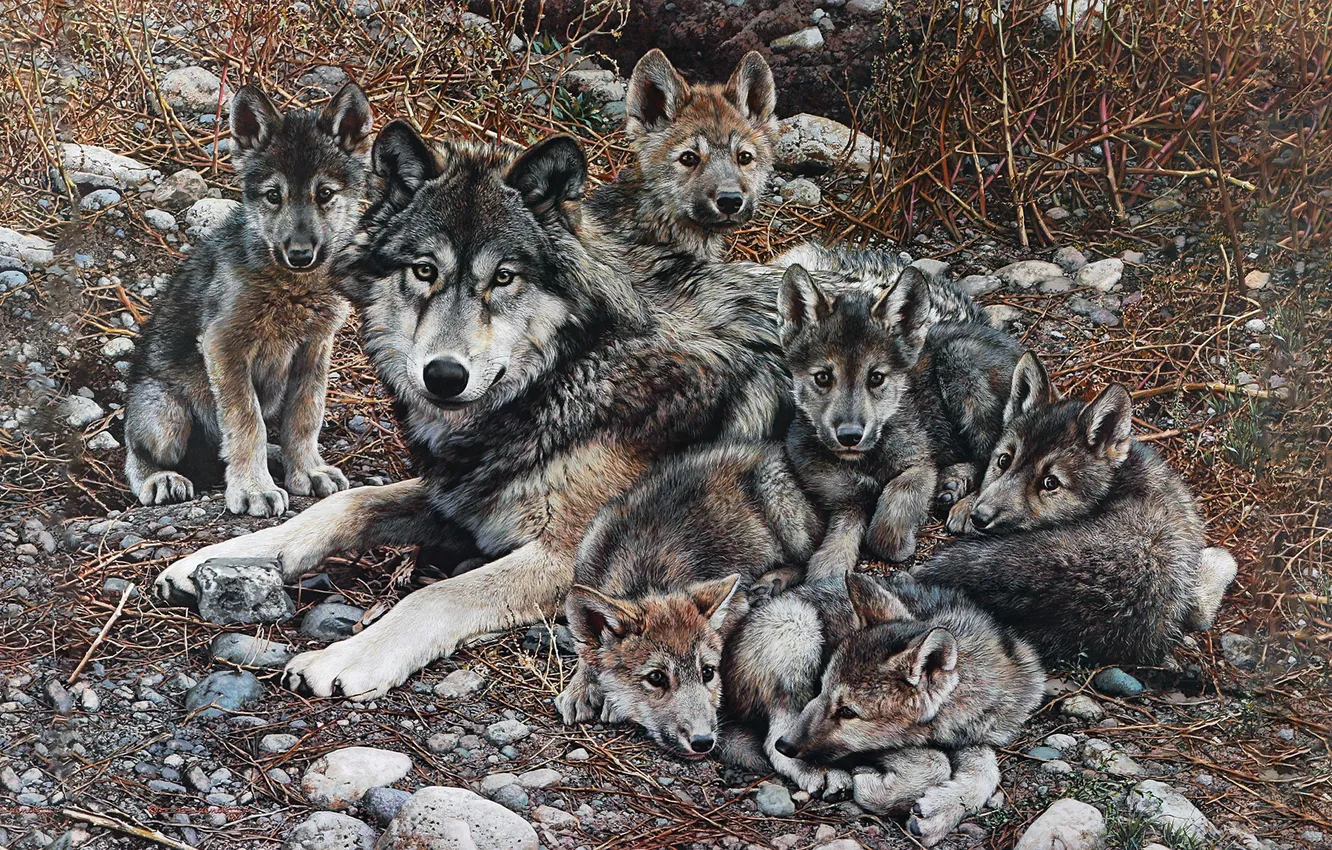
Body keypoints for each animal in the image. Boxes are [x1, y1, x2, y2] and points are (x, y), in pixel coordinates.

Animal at [123, 83, 373, 516]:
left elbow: (305, 417)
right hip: (165, 417)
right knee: (137, 453)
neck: (292, 287)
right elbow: (246, 423)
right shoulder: (224, 346)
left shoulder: (315, 348)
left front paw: (307, 471)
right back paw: (162, 479)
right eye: (274, 195)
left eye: (325, 194)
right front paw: (254, 489)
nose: (300, 254)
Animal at [152, 122, 790, 701]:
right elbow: (339, 506)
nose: (444, 375)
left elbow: (433, 594)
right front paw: (219, 558)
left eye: (503, 277)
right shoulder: (461, 493)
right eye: (424, 270)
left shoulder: (571, 558)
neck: (571, 372)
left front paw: (348, 655)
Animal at [556, 442, 820, 759]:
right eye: (656, 678)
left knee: (807, 558)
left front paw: (609, 702)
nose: (703, 741)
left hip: (781, 506)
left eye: (708, 672)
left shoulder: (735, 605)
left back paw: (772, 582)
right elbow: (586, 651)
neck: (645, 573)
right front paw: (580, 688)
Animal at [726, 571, 1043, 845]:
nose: (787, 746)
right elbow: (936, 763)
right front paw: (878, 791)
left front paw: (943, 810)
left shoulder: (976, 737)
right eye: (821, 689)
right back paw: (817, 770)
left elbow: (987, 773)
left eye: (848, 712)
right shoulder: (882, 745)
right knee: (771, 737)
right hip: (797, 626)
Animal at [780, 264, 938, 576]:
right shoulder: (844, 497)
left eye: (876, 377)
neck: (864, 461)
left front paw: (896, 544)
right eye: (822, 377)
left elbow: (897, 496)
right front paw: (828, 569)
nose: (850, 437)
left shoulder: (922, 466)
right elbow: (840, 537)